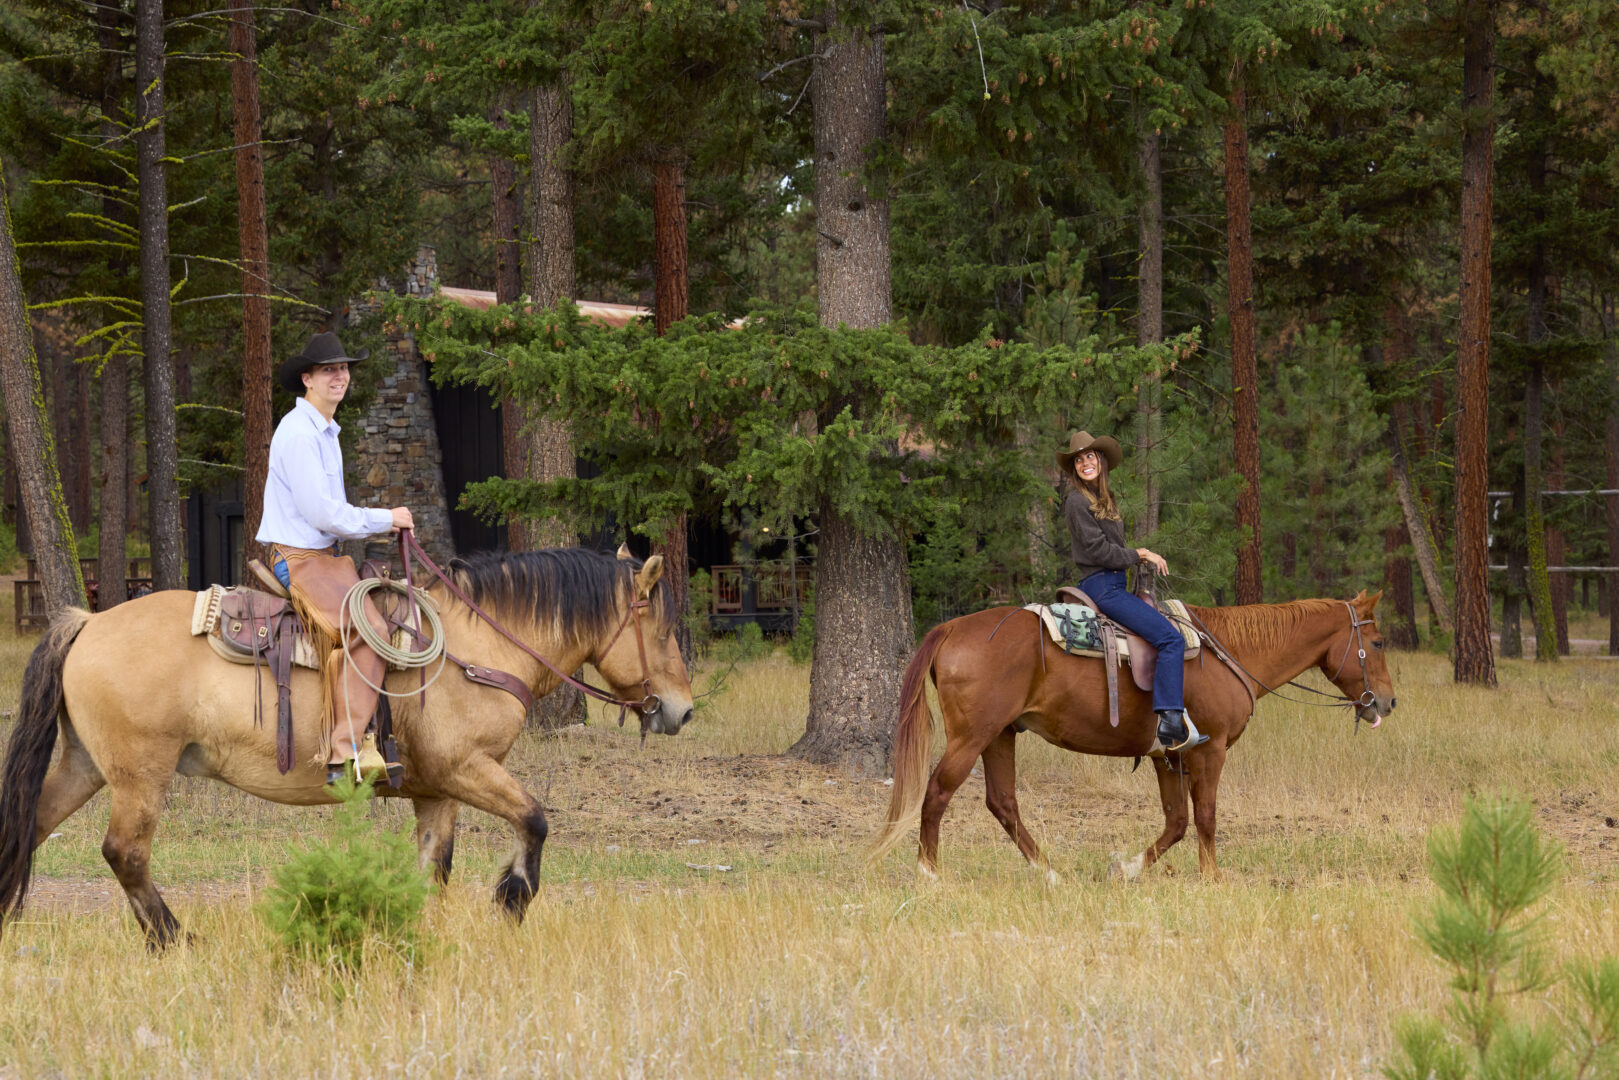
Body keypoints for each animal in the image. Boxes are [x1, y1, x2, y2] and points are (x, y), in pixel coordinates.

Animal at [0, 546, 694, 947]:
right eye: (662, 630)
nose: (683, 710)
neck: (474, 649)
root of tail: (88, 622)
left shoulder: (437, 790)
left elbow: (431, 868)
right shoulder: (467, 769)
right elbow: (535, 819)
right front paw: (513, 898)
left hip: (87, 765)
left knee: (33, 825)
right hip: (141, 773)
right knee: (125, 853)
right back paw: (175, 940)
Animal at [870, 590, 1397, 881]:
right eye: (1376, 642)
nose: (1388, 703)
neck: (1227, 651)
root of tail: (952, 628)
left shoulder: (1169, 756)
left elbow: (1177, 822)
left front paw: (1125, 869)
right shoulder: (1210, 751)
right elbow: (1206, 817)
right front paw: (1213, 877)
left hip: (1000, 735)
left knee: (1003, 803)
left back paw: (1051, 873)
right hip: (973, 735)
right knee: (938, 792)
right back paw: (930, 874)